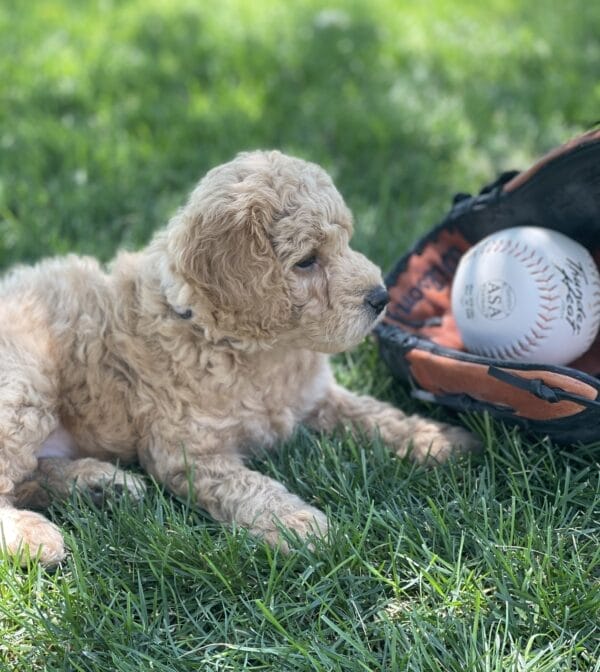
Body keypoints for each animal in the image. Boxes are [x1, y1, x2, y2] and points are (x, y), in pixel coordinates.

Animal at [0, 150, 478, 564]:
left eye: (346, 241)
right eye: (307, 261)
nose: (381, 298)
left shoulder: (317, 397)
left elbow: (377, 415)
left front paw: (437, 438)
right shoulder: (189, 452)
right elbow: (249, 486)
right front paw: (299, 524)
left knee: (29, 475)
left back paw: (101, 485)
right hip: (26, 382)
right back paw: (35, 535)